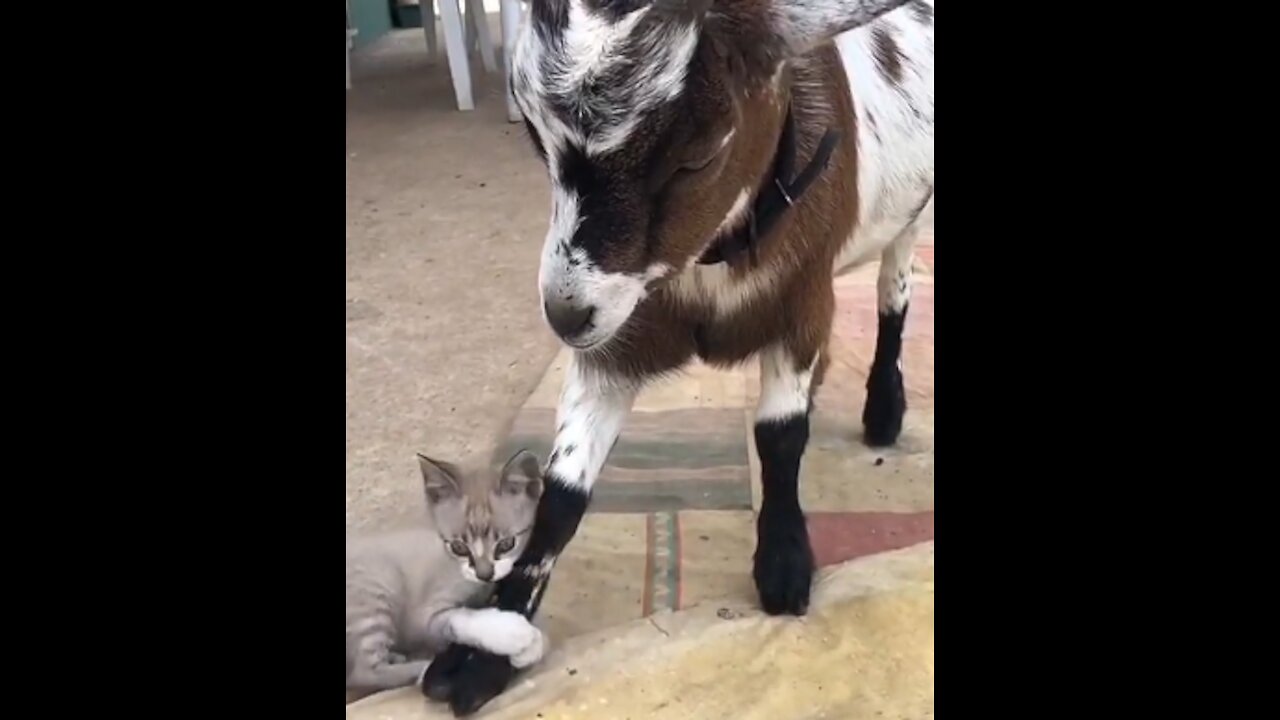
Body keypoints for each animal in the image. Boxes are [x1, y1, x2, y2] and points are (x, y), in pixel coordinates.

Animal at [345, 445, 545, 691]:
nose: (484, 573)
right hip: (377, 591)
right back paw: (422, 669)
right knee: (362, 673)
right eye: (459, 547)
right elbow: (461, 617)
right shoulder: (423, 616)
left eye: (506, 544)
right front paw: (512, 632)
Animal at [424, 0, 936, 707]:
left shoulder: (801, 308)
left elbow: (780, 436)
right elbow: (561, 497)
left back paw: (884, 409)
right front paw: (485, 648)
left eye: (696, 157)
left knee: (895, 291)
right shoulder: (616, 342)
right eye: (533, 135)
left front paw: (784, 564)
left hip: (908, 219)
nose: (565, 315)